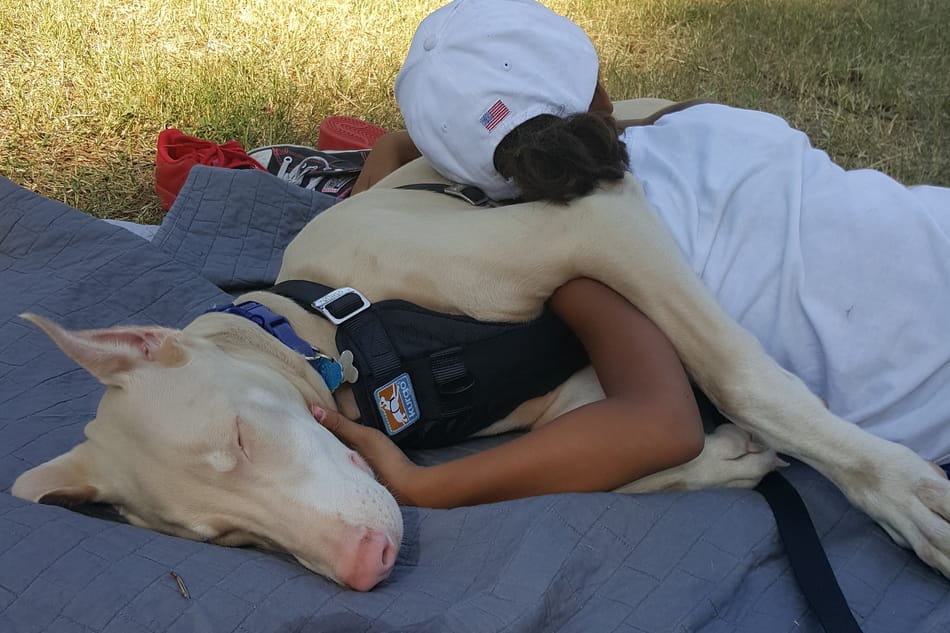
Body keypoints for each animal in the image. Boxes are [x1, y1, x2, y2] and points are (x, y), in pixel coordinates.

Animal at [9, 97, 950, 588]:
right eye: (234, 543)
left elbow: (746, 378)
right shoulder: (580, 394)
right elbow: (622, 463)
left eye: (239, 440)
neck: (326, 329)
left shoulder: (589, 229)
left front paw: (898, 489)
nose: (367, 566)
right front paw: (725, 458)